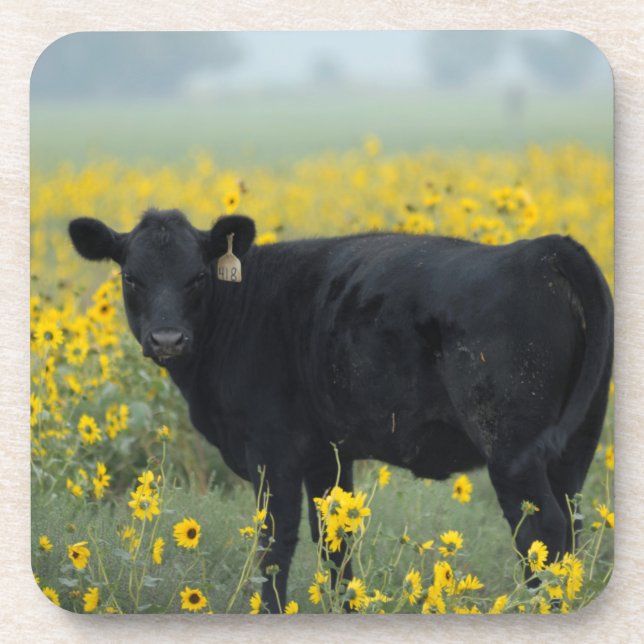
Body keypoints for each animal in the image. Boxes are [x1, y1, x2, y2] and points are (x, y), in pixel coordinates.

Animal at [69, 208, 613, 613]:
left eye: (198, 276)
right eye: (131, 278)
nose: (167, 339)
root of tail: (542, 248)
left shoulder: (272, 453)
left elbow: (275, 544)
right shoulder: (326, 455)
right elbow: (336, 541)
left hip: (512, 448)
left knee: (542, 533)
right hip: (574, 446)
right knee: (571, 527)